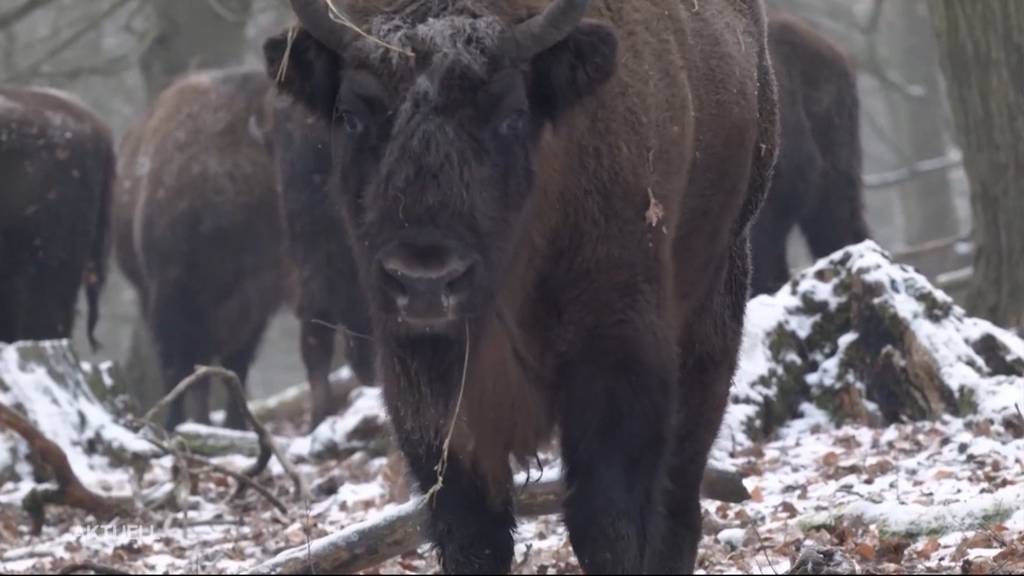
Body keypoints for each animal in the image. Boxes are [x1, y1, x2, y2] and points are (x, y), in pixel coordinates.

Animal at [113, 68, 288, 426]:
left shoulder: (257, 302)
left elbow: (234, 365)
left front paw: (237, 424)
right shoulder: (169, 293)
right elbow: (180, 365)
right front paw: (176, 422)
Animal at [264, 0, 774, 569]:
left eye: (512, 114)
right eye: (351, 115)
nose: (425, 281)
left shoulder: (619, 365)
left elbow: (608, 524)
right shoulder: (432, 399)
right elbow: (474, 536)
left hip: (714, 308)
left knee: (680, 500)